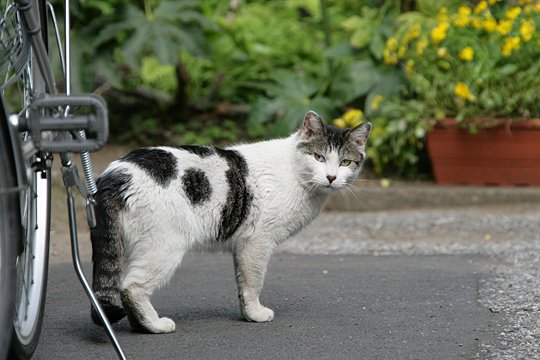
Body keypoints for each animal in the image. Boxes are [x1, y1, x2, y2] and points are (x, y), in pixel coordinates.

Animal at [89, 111, 372, 334]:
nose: (332, 177)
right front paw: (257, 314)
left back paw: (140, 326)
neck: (295, 173)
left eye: (345, 162)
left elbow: (242, 282)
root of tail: (114, 174)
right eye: (318, 157)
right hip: (164, 247)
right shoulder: (257, 242)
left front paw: (247, 314)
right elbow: (254, 282)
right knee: (131, 287)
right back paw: (156, 325)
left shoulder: (242, 247)